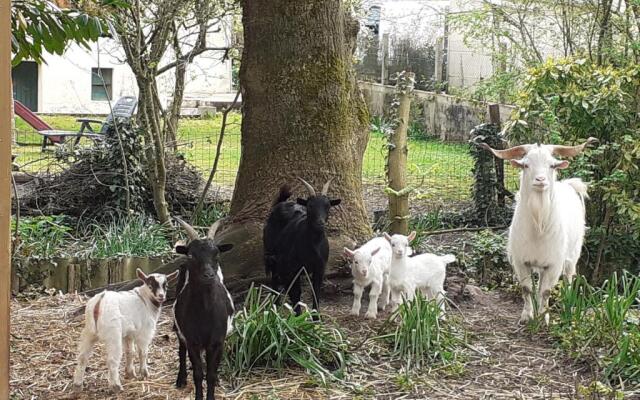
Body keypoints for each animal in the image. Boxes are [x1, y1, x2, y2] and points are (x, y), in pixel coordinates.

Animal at [174, 217, 234, 400]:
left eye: (217, 254)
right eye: (191, 255)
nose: (209, 275)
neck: (205, 314)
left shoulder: (217, 341)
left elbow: (211, 374)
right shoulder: (192, 340)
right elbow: (199, 374)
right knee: (181, 349)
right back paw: (181, 379)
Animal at [262, 177, 340, 316]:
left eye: (328, 206)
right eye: (310, 206)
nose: (320, 223)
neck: (313, 245)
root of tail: (280, 204)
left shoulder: (320, 267)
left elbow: (315, 291)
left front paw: (316, 318)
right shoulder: (294, 268)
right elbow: (296, 293)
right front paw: (297, 317)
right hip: (271, 254)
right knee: (275, 278)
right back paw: (275, 306)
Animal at [482, 136, 596, 324]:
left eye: (552, 165)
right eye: (526, 165)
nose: (540, 180)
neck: (538, 227)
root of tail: (569, 185)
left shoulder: (554, 263)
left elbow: (546, 291)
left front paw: (543, 318)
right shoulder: (521, 261)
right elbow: (527, 288)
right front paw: (527, 316)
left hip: (572, 256)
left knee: (568, 279)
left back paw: (566, 308)